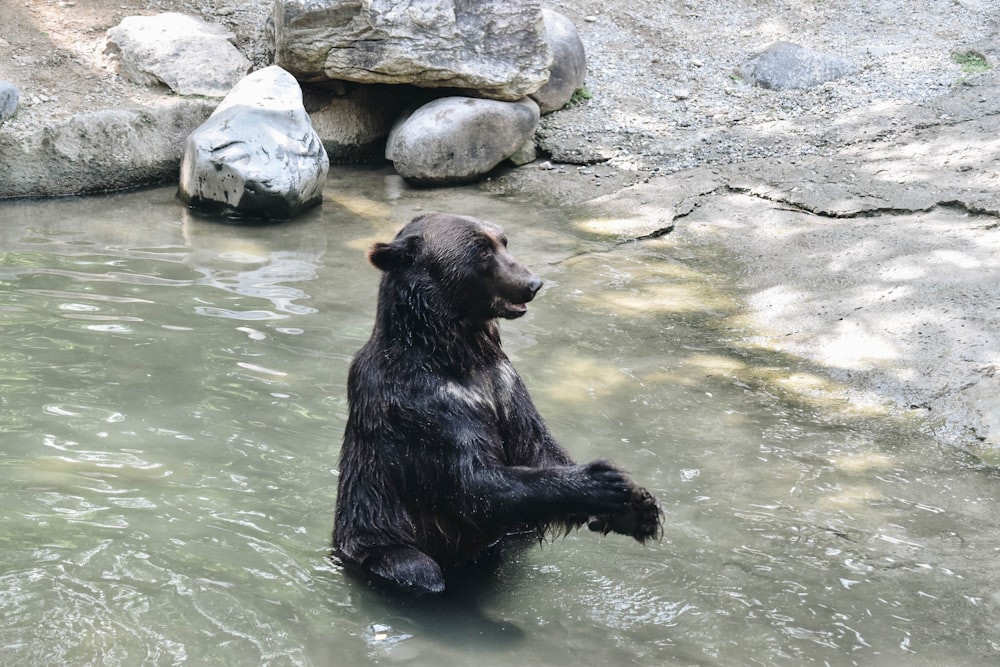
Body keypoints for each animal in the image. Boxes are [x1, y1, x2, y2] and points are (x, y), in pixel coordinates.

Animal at [336, 213, 660, 596]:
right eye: (481, 250)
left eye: (503, 241)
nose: (532, 283)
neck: (457, 352)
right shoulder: (421, 404)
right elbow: (474, 482)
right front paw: (603, 481)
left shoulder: (503, 383)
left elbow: (535, 447)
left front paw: (639, 507)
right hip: (377, 540)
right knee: (418, 567)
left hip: (513, 535)